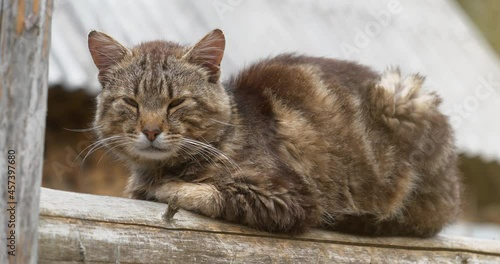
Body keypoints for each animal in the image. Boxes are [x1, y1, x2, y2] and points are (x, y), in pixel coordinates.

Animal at [87, 28, 460, 237]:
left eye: (177, 102)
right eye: (131, 102)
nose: (150, 130)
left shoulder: (292, 198)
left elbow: (214, 192)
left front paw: (167, 189)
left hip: (402, 98)